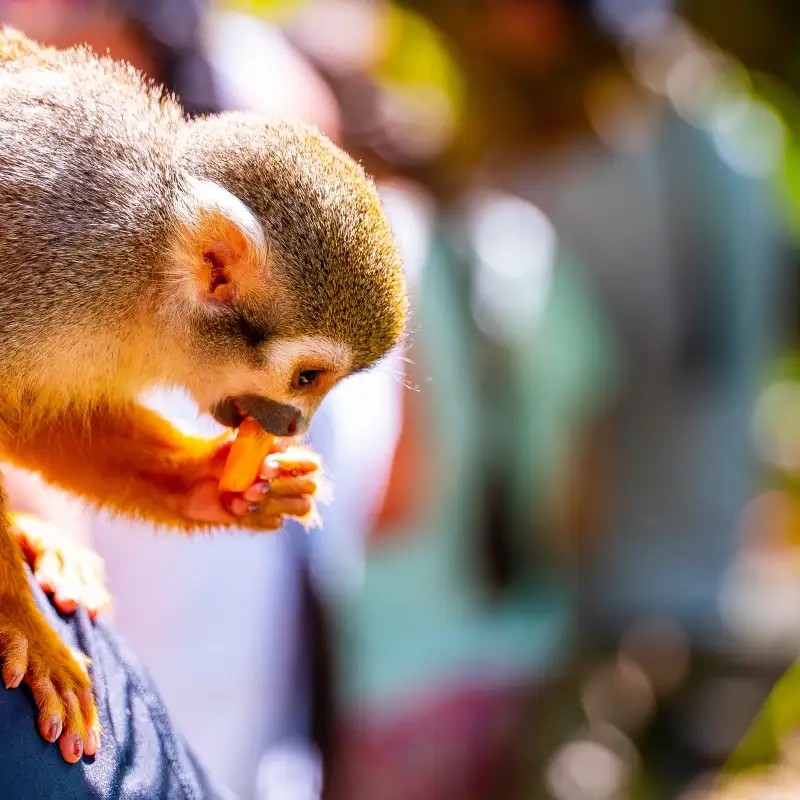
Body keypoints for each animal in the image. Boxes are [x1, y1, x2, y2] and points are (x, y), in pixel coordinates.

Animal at [0, 29, 407, 763]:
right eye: (308, 377)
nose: (293, 425)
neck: (146, 272)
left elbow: (44, 414)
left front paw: (210, 483)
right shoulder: (45, 264)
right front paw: (20, 620)